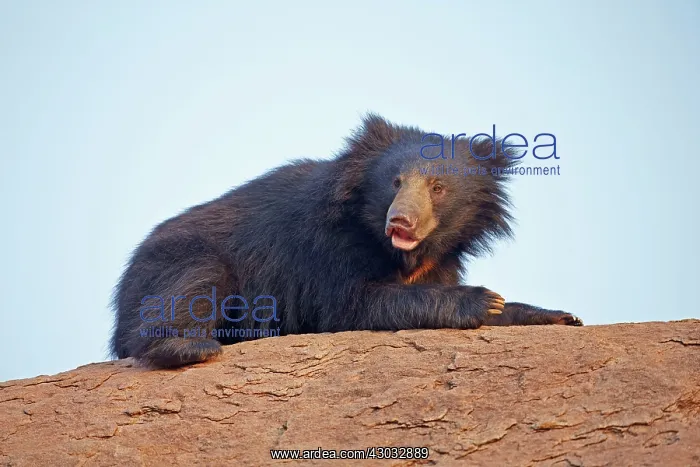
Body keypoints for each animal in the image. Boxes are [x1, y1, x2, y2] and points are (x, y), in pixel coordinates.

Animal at [110, 114, 582, 368]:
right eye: (395, 182)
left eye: (437, 188)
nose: (401, 221)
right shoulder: (324, 248)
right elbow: (349, 304)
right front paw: (481, 300)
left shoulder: (443, 258)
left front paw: (550, 315)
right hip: (175, 262)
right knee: (193, 286)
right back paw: (188, 347)